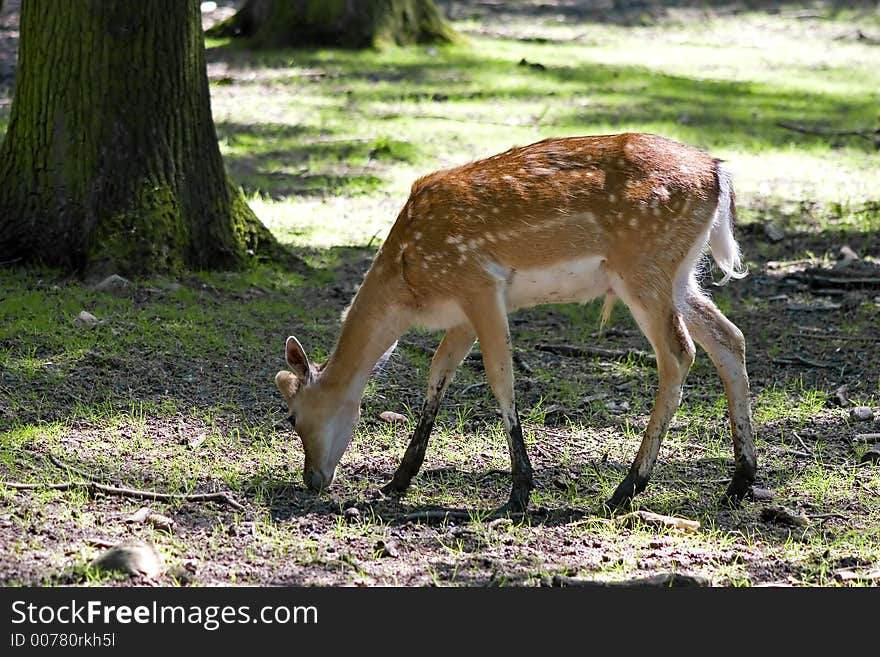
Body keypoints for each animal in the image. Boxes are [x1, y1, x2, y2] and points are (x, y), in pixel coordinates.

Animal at [276, 133, 756, 512]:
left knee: (679, 353)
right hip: (680, 275)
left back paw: (627, 488)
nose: (311, 479)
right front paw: (396, 481)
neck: (409, 286)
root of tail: (719, 175)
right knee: (729, 338)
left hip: (643, 267)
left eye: (293, 417)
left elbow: (500, 377)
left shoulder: (479, 284)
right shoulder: (462, 313)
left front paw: (520, 491)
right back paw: (739, 482)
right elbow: (437, 375)